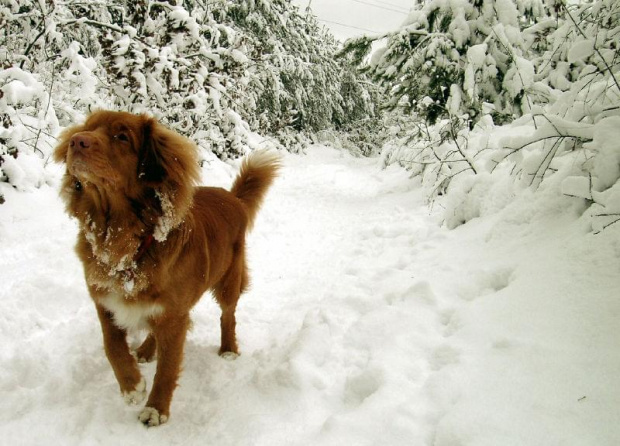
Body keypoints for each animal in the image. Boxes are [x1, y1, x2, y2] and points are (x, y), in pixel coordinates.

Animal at [55, 110, 278, 426]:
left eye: (122, 136)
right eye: (88, 128)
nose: (77, 141)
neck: (124, 239)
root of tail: (232, 197)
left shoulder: (174, 315)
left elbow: (168, 367)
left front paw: (156, 408)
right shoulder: (105, 301)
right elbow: (112, 346)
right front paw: (131, 385)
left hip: (227, 281)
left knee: (228, 316)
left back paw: (228, 349)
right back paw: (146, 350)